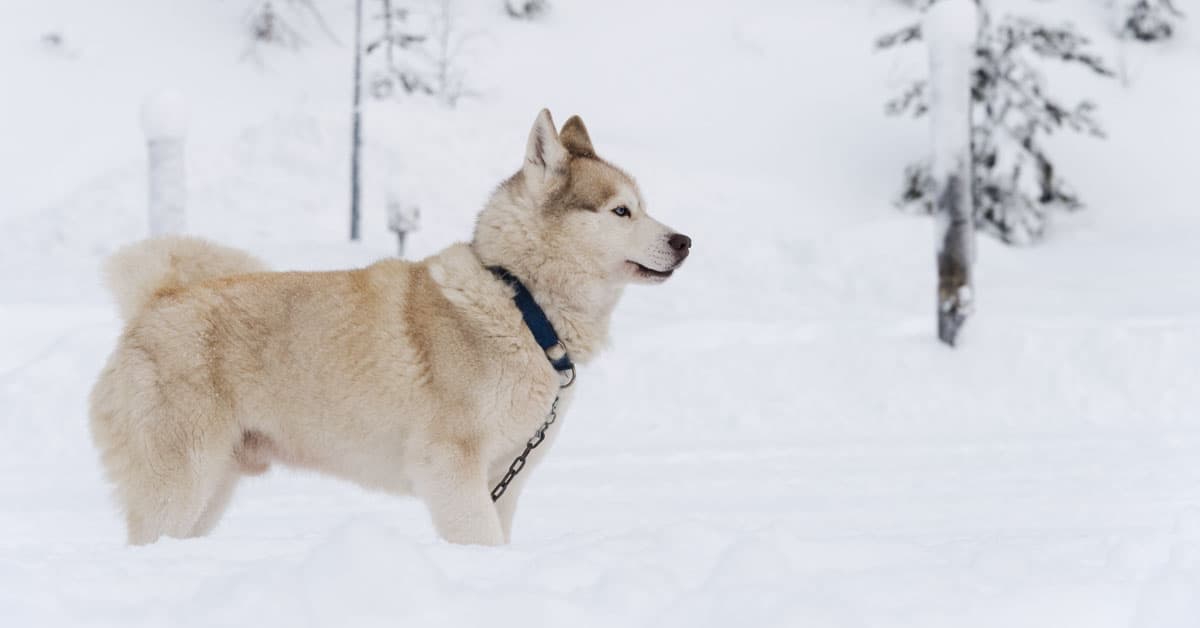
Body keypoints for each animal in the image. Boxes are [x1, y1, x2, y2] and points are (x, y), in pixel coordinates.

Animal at [88, 111, 691, 545]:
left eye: (643, 207)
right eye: (620, 212)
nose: (684, 241)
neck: (522, 304)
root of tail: (156, 299)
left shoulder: (505, 476)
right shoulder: (452, 468)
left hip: (210, 492)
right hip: (180, 485)